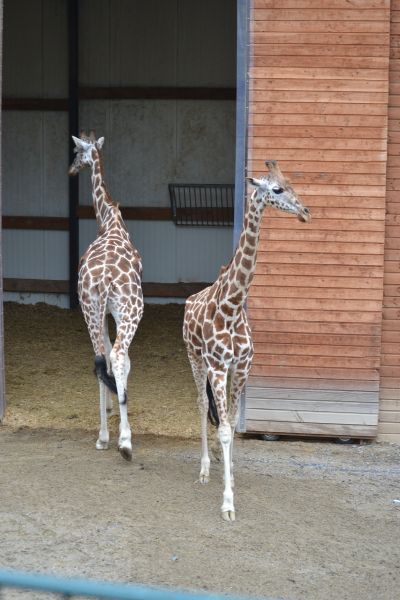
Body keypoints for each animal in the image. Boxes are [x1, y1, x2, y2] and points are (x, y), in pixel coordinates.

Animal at [183, 159, 310, 520]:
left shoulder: (241, 367)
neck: (232, 305)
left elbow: (231, 423)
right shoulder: (216, 365)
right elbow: (225, 427)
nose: (305, 212)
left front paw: (232, 477)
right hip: (194, 358)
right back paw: (203, 469)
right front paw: (227, 502)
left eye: (292, 183)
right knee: (201, 404)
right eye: (277, 189)